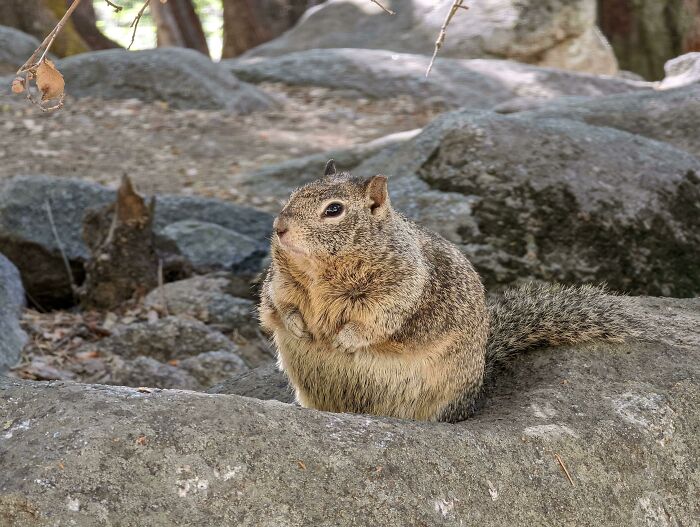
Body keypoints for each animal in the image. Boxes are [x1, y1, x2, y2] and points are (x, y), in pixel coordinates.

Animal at [259, 160, 637, 422]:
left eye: (334, 210)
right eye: (293, 194)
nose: (279, 227)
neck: (319, 272)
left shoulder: (400, 287)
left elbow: (377, 318)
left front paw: (344, 339)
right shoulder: (281, 281)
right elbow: (278, 304)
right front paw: (297, 325)